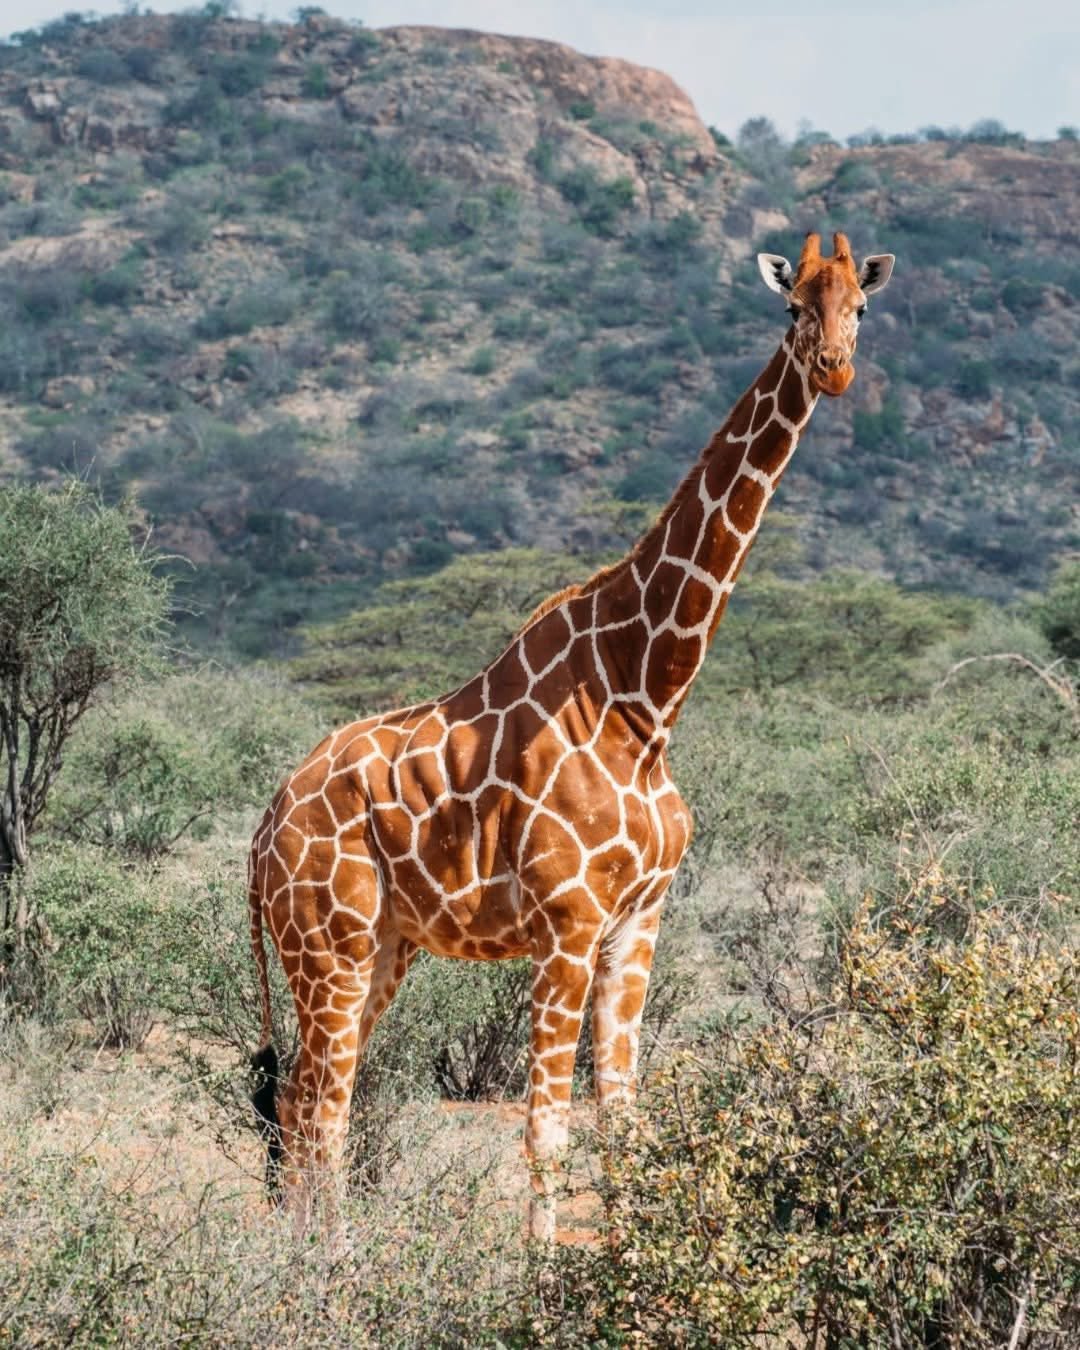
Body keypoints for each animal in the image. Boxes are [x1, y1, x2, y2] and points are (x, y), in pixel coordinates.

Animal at [249, 230, 895, 1240]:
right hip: (329, 944)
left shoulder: (638, 921)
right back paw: (327, 1257)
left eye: (859, 308)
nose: (834, 368)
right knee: (319, 1103)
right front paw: (546, 1268)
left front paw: (628, 1263)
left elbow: (623, 1120)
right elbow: (546, 1131)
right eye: (794, 308)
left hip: (384, 945)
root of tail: (262, 829)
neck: (646, 696)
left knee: (304, 1099)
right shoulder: (568, 921)